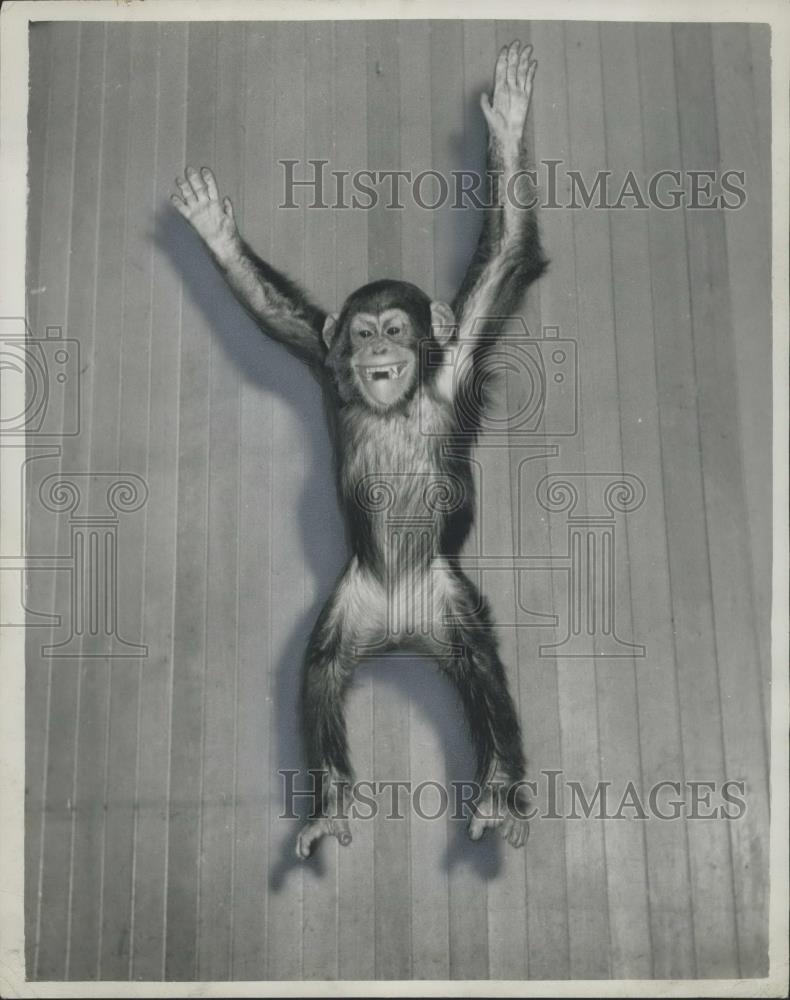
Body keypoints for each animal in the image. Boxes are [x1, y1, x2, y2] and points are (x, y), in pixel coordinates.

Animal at [171, 41, 547, 859]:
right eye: (364, 331)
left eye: (397, 330)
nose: (377, 349)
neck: (397, 400)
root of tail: (402, 635)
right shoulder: (325, 359)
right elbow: (276, 313)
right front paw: (216, 231)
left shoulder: (461, 354)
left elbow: (505, 250)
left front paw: (507, 125)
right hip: (351, 607)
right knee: (318, 673)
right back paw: (331, 797)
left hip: (449, 603)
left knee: (483, 671)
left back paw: (498, 789)